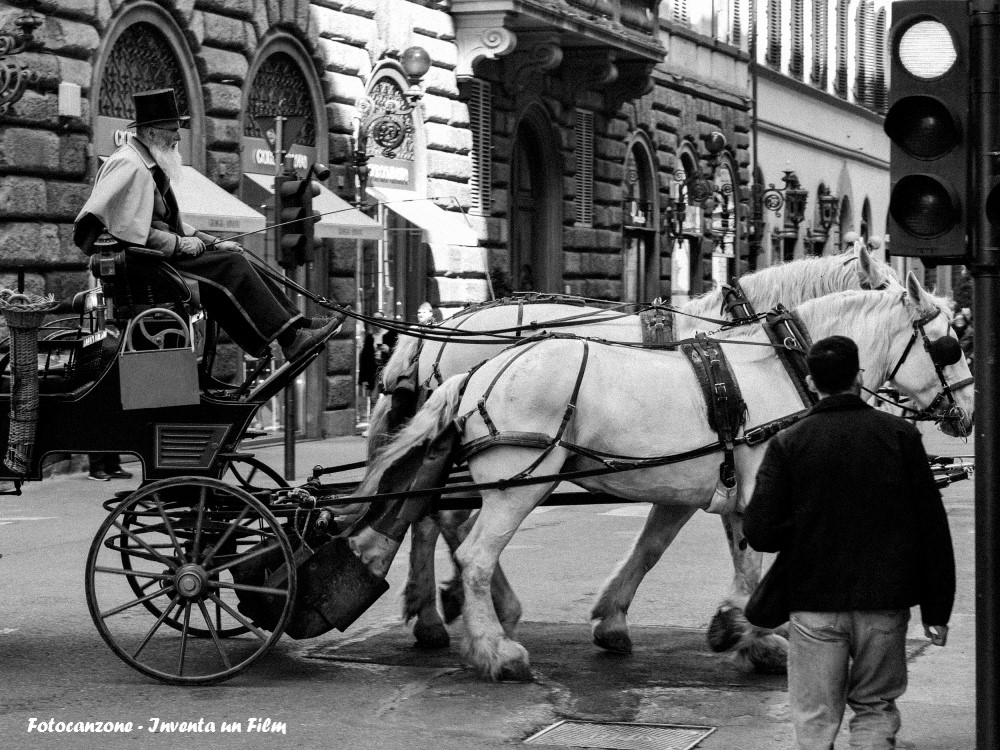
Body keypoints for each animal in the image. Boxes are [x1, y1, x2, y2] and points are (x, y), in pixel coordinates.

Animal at [350, 276, 968, 680]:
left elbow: (662, 549)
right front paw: (748, 633)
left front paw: (723, 630)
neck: (782, 362)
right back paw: (492, 648)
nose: (967, 414)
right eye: (949, 346)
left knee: (440, 523)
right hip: (516, 483)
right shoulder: (756, 489)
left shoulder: (699, 487)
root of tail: (478, 370)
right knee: (468, 547)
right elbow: (750, 565)